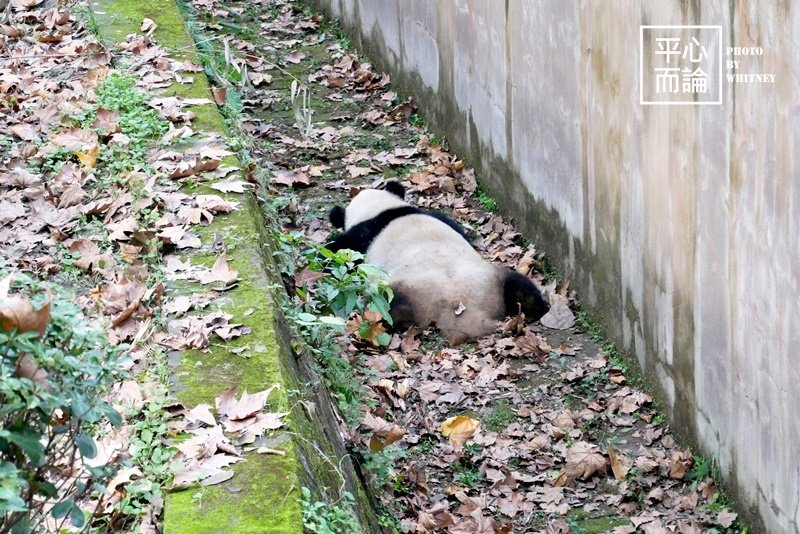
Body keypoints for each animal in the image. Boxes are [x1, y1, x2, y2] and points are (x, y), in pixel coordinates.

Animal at [326, 182, 552, 346]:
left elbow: (340, 251)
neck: (381, 210)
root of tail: (460, 305)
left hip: (409, 292)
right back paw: (537, 306)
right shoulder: (437, 216)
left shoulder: (362, 236)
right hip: (490, 279)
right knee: (519, 285)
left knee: (387, 308)